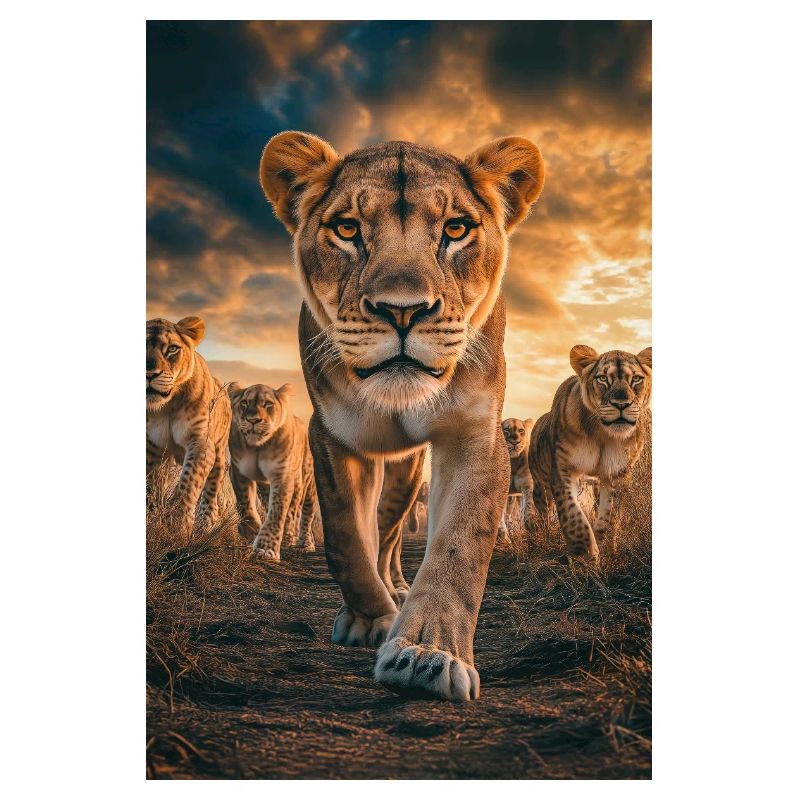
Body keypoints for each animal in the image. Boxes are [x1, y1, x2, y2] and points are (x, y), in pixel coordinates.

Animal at [146, 316, 232, 542]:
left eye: (172, 349)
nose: (149, 374)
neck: (165, 406)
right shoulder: (150, 447)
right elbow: (150, 487)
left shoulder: (200, 442)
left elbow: (188, 483)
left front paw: (178, 527)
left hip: (219, 455)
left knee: (210, 491)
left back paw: (206, 525)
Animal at [227, 382, 319, 561]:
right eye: (244, 403)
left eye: (268, 404)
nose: (253, 420)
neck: (259, 448)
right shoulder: (238, 470)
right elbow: (244, 503)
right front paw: (252, 530)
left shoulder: (282, 475)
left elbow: (277, 511)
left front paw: (265, 549)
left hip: (307, 483)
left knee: (305, 513)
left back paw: (304, 544)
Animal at [260, 130, 544, 700]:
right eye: (347, 228)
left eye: (455, 229)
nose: (402, 310)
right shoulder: (333, 434)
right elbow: (346, 538)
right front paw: (371, 619)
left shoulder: (475, 436)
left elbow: (458, 547)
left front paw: (426, 654)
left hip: (408, 472)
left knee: (391, 534)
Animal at [528, 345, 652, 562]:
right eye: (602, 378)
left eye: (636, 379)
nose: (621, 404)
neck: (602, 434)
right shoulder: (563, 470)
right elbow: (573, 517)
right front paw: (584, 558)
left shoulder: (617, 475)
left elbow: (609, 517)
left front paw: (605, 551)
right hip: (539, 484)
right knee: (545, 510)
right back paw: (547, 535)